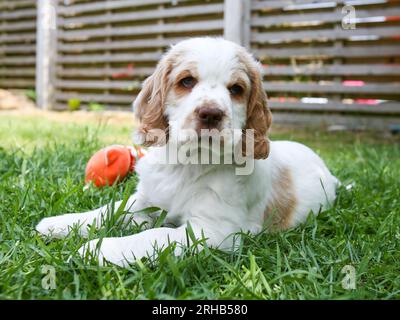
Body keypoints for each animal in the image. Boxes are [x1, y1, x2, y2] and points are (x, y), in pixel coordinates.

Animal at [36, 37, 340, 268]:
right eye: (186, 81)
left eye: (236, 89)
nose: (211, 114)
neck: (189, 163)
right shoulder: (146, 200)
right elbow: (110, 209)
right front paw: (60, 223)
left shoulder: (212, 231)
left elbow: (155, 235)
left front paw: (97, 249)